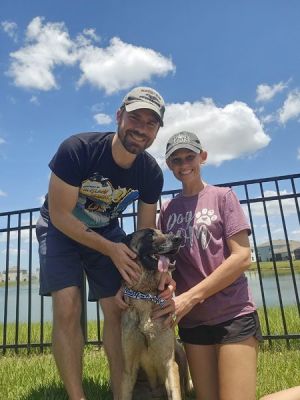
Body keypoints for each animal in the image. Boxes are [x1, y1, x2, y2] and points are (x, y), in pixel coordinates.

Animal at [119, 228, 190, 400]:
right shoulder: (128, 369)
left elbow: (175, 392)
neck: (145, 294)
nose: (178, 238)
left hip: (180, 351)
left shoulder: (170, 364)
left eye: (163, 232)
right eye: (149, 235)